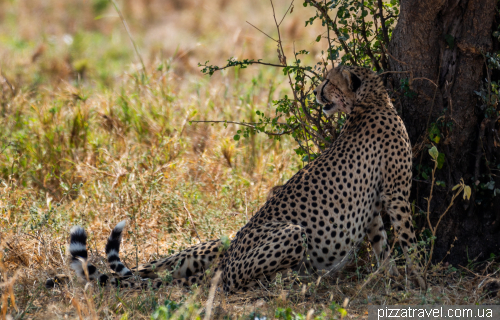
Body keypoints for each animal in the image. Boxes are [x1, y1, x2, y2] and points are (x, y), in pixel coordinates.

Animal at [47, 65, 426, 292]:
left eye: (329, 82)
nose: (317, 94)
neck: (371, 103)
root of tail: (224, 264)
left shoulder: (377, 200)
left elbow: (382, 242)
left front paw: (389, 274)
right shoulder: (395, 193)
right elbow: (407, 237)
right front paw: (420, 275)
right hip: (291, 233)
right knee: (243, 280)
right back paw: (294, 279)